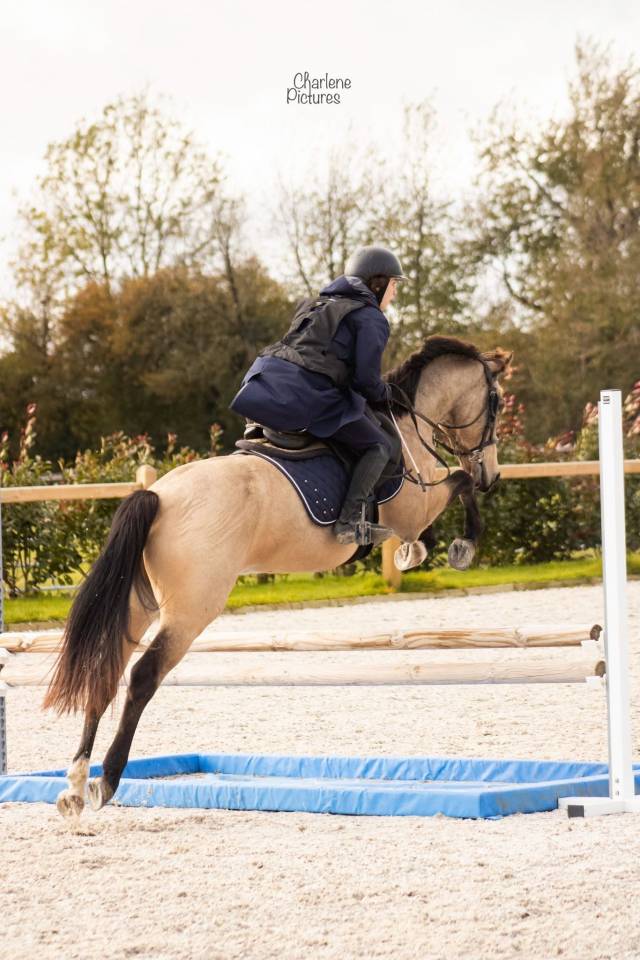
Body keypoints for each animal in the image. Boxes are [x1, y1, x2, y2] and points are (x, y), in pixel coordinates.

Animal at [44, 335, 512, 818]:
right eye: (496, 403)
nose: (492, 474)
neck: (407, 423)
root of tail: (156, 495)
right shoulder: (414, 506)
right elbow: (457, 485)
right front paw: (458, 547)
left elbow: (444, 503)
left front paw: (411, 552)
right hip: (191, 610)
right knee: (142, 677)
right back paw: (107, 780)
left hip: (139, 603)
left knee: (105, 671)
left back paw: (75, 785)